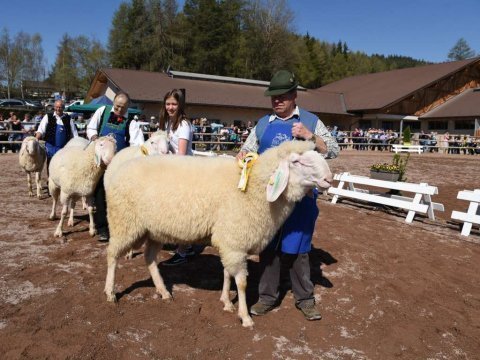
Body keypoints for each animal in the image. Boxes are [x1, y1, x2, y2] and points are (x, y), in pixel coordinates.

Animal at [103, 141, 332, 330]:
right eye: (296, 161)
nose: (329, 178)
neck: (255, 187)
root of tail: (119, 168)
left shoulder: (230, 240)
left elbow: (227, 273)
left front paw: (226, 302)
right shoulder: (235, 239)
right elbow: (241, 282)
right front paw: (245, 317)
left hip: (154, 230)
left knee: (149, 258)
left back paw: (163, 291)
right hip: (123, 221)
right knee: (112, 255)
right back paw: (110, 292)